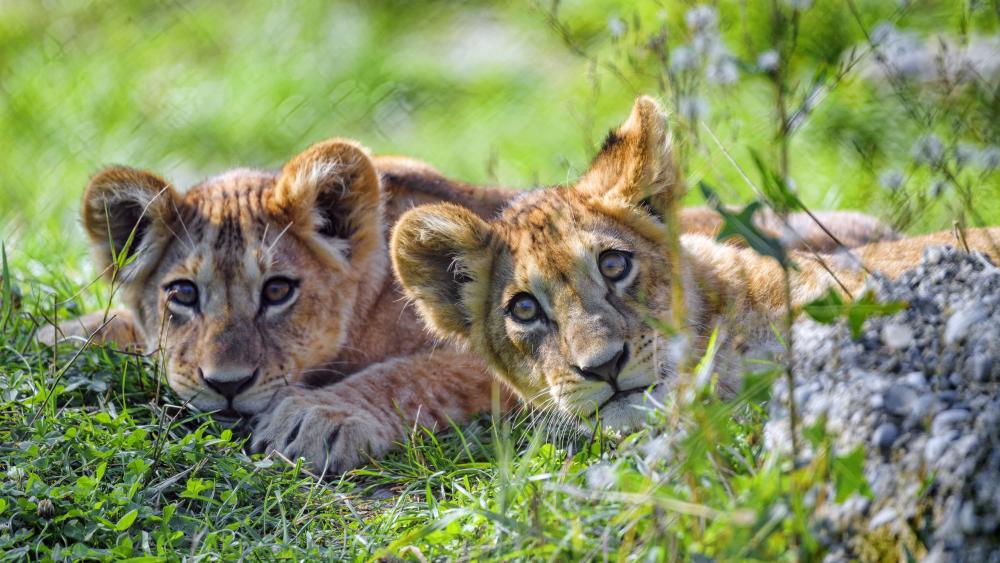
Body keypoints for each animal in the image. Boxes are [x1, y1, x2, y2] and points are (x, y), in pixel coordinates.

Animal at [41, 132, 895, 474]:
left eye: (278, 290)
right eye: (182, 294)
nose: (226, 387)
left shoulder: (482, 357)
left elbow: (411, 375)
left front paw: (318, 418)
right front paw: (60, 335)